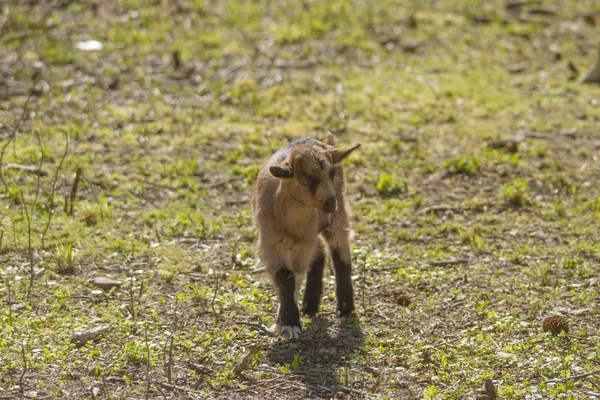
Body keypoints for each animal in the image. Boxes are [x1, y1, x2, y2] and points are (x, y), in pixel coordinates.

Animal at [251, 137, 358, 338]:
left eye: (332, 174)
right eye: (302, 181)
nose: (330, 203)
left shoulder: (303, 244)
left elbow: (296, 275)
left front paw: (286, 322)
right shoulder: (270, 241)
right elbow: (285, 277)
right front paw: (288, 322)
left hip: (338, 217)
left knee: (340, 254)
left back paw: (345, 306)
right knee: (320, 252)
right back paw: (310, 304)